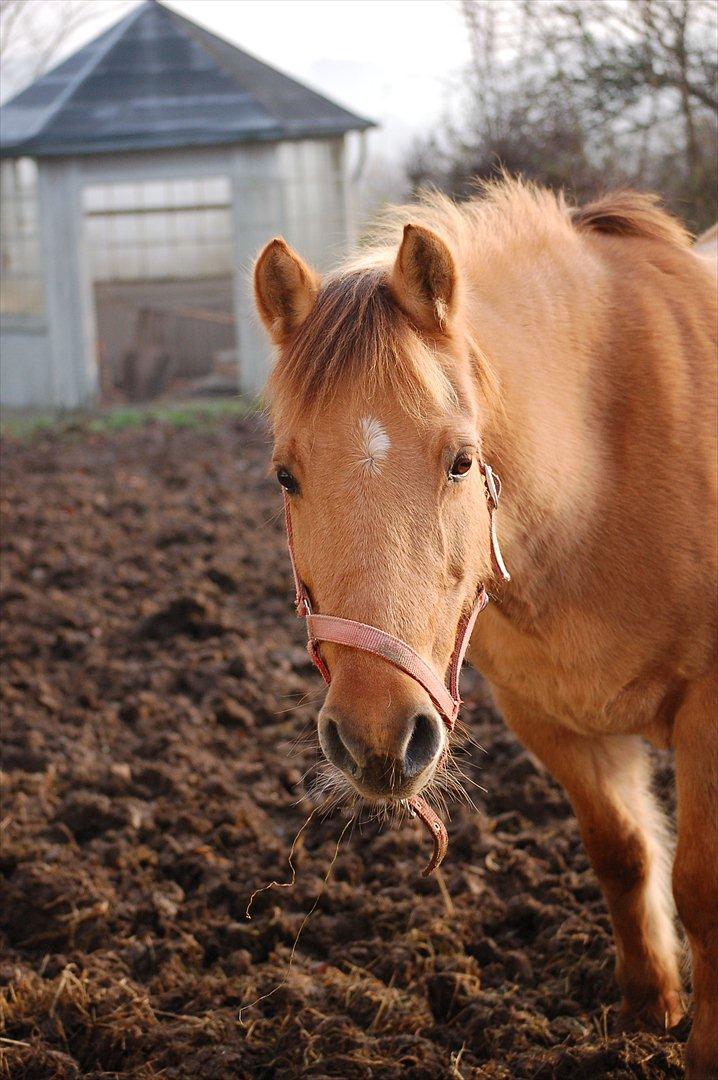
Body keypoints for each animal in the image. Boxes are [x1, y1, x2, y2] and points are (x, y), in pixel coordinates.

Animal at [253, 181, 716, 1075]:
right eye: (287, 475)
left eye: (461, 461)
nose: (377, 736)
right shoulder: (549, 718)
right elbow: (624, 855)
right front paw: (653, 1011)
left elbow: (703, 885)